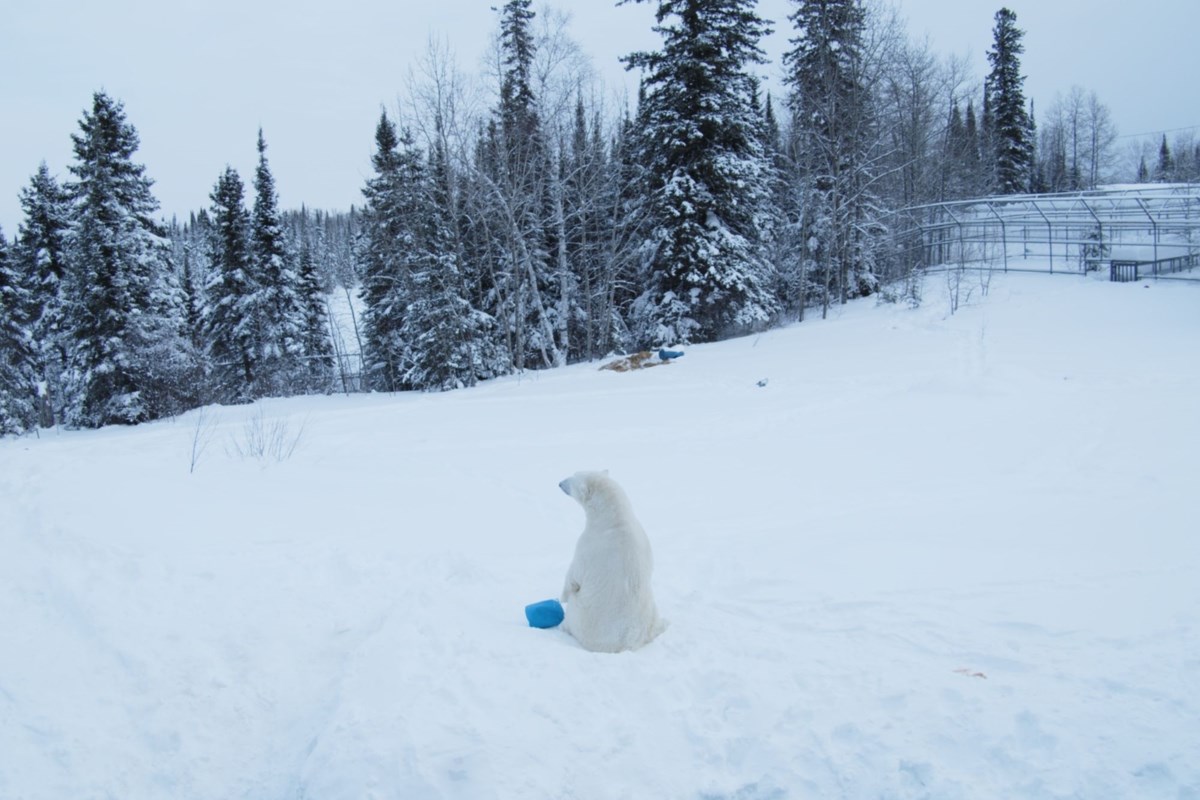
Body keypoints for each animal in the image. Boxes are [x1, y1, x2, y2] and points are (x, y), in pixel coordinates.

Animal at [558, 470, 667, 653]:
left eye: (572, 480)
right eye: (574, 473)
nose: (560, 483)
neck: (616, 519)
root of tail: (628, 643)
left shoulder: (589, 545)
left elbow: (574, 575)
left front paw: (562, 597)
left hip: (583, 616)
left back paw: (563, 626)